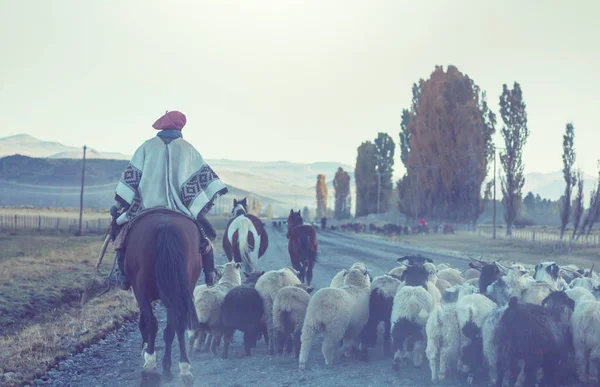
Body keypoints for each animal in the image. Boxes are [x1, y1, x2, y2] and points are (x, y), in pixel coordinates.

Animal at [122, 211, 202, 386]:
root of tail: (165, 227)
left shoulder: (141, 293)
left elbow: (146, 324)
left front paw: (147, 355)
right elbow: (170, 329)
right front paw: (167, 366)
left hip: (142, 288)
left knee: (152, 323)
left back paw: (151, 364)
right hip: (180, 287)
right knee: (177, 324)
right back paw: (184, 368)